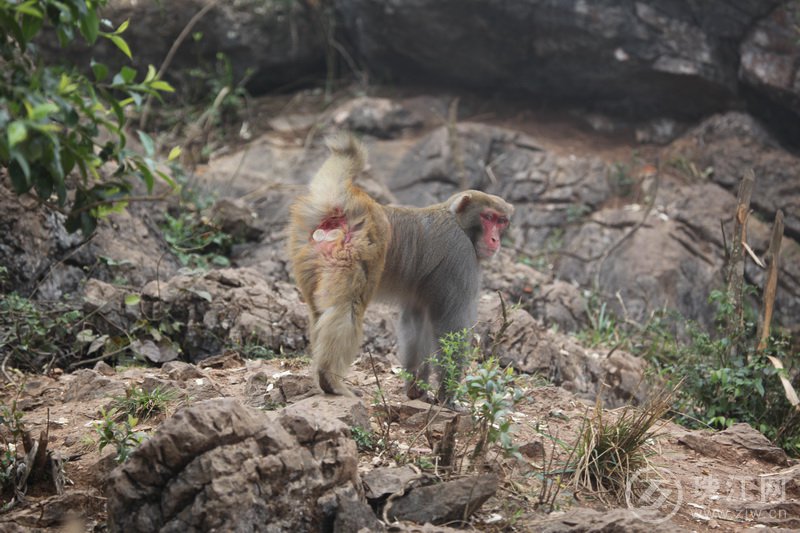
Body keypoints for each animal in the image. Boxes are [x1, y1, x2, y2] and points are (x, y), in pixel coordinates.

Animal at [288, 134, 512, 404]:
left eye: (502, 221)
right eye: (488, 217)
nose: (495, 240)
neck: (458, 223)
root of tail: (341, 207)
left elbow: (416, 319)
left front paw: (416, 387)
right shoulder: (460, 257)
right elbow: (451, 323)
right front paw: (447, 395)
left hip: (307, 252)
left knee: (318, 310)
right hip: (356, 252)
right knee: (348, 307)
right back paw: (331, 381)